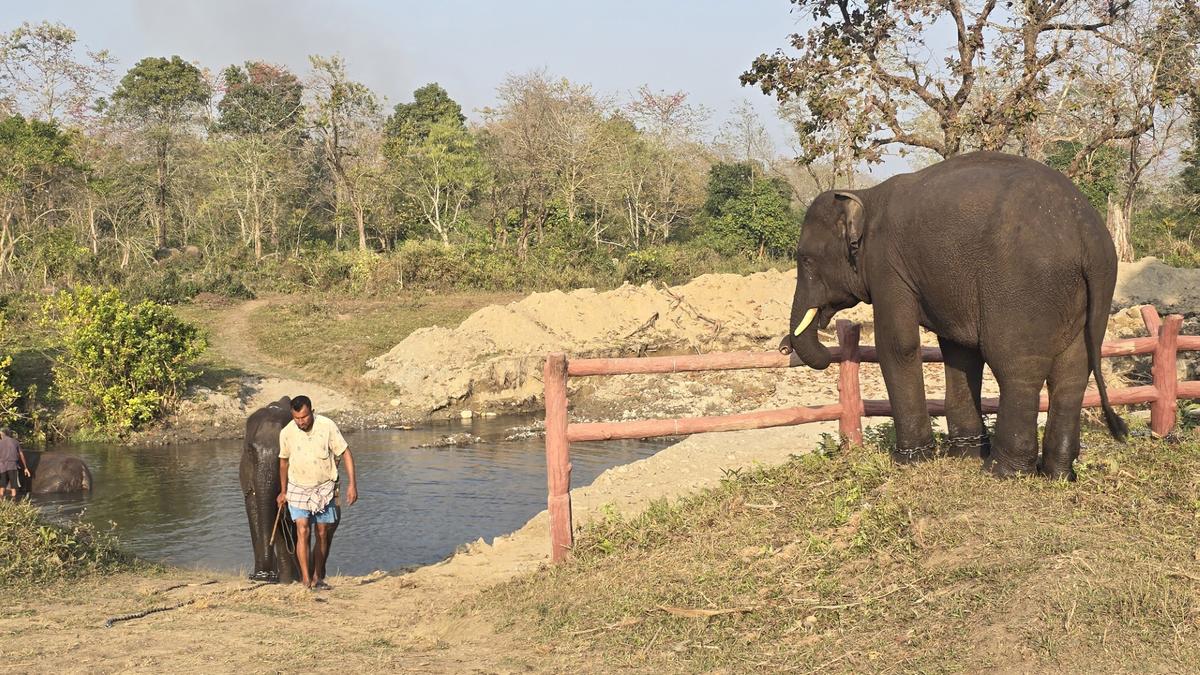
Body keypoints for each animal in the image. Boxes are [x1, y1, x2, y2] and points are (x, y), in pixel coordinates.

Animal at [780, 151, 1126, 480]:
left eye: (806, 260)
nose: (784, 347)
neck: (865, 194)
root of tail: (1087, 235)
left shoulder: (888, 268)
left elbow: (898, 345)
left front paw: (910, 460)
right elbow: (960, 351)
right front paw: (966, 452)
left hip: (1023, 287)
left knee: (1017, 368)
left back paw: (1003, 472)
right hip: (1088, 296)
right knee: (1072, 373)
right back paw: (1059, 474)